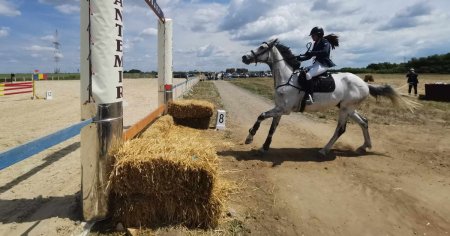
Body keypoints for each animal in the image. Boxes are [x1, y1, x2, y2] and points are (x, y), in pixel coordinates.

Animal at [243, 38, 414, 157]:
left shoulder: (284, 110)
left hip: (345, 109)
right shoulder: (279, 108)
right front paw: (264, 147)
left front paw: (250, 137)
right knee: (364, 122)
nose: (244, 57)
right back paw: (364, 146)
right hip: (349, 108)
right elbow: (272, 127)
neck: (287, 78)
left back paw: (324, 150)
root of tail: (364, 83)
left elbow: (261, 116)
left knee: (341, 129)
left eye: (262, 47)